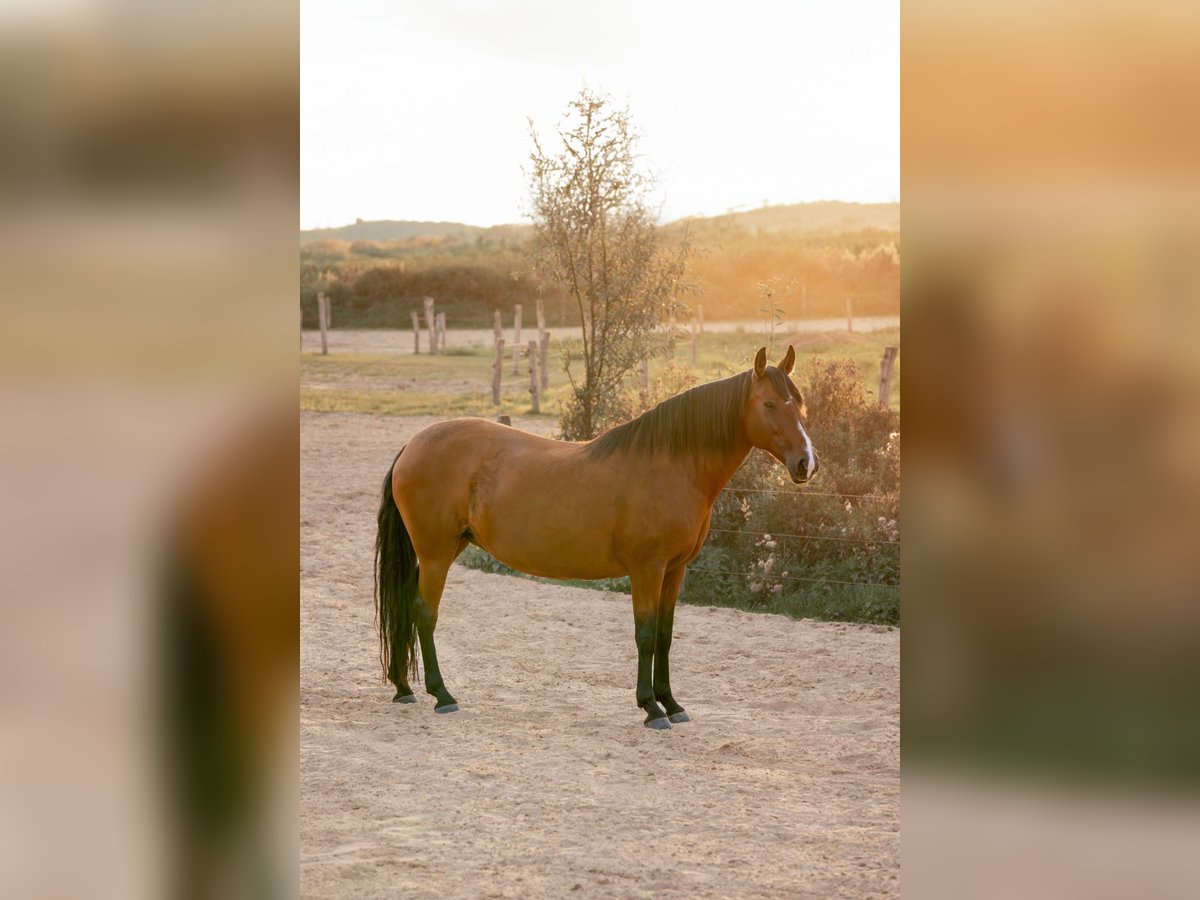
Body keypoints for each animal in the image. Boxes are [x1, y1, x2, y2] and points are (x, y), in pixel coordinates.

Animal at [373, 345, 819, 729]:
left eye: (800, 405)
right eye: (769, 404)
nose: (806, 463)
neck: (672, 465)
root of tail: (412, 445)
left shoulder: (674, 571)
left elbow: (664, 636)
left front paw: (672, 704)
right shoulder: (646, 570)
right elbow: (644, 635)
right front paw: (651, 708)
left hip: (443, 550)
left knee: (406, 607)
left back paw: (404, 687)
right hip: (436, 553)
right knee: (424, 614)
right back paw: (442, 695)